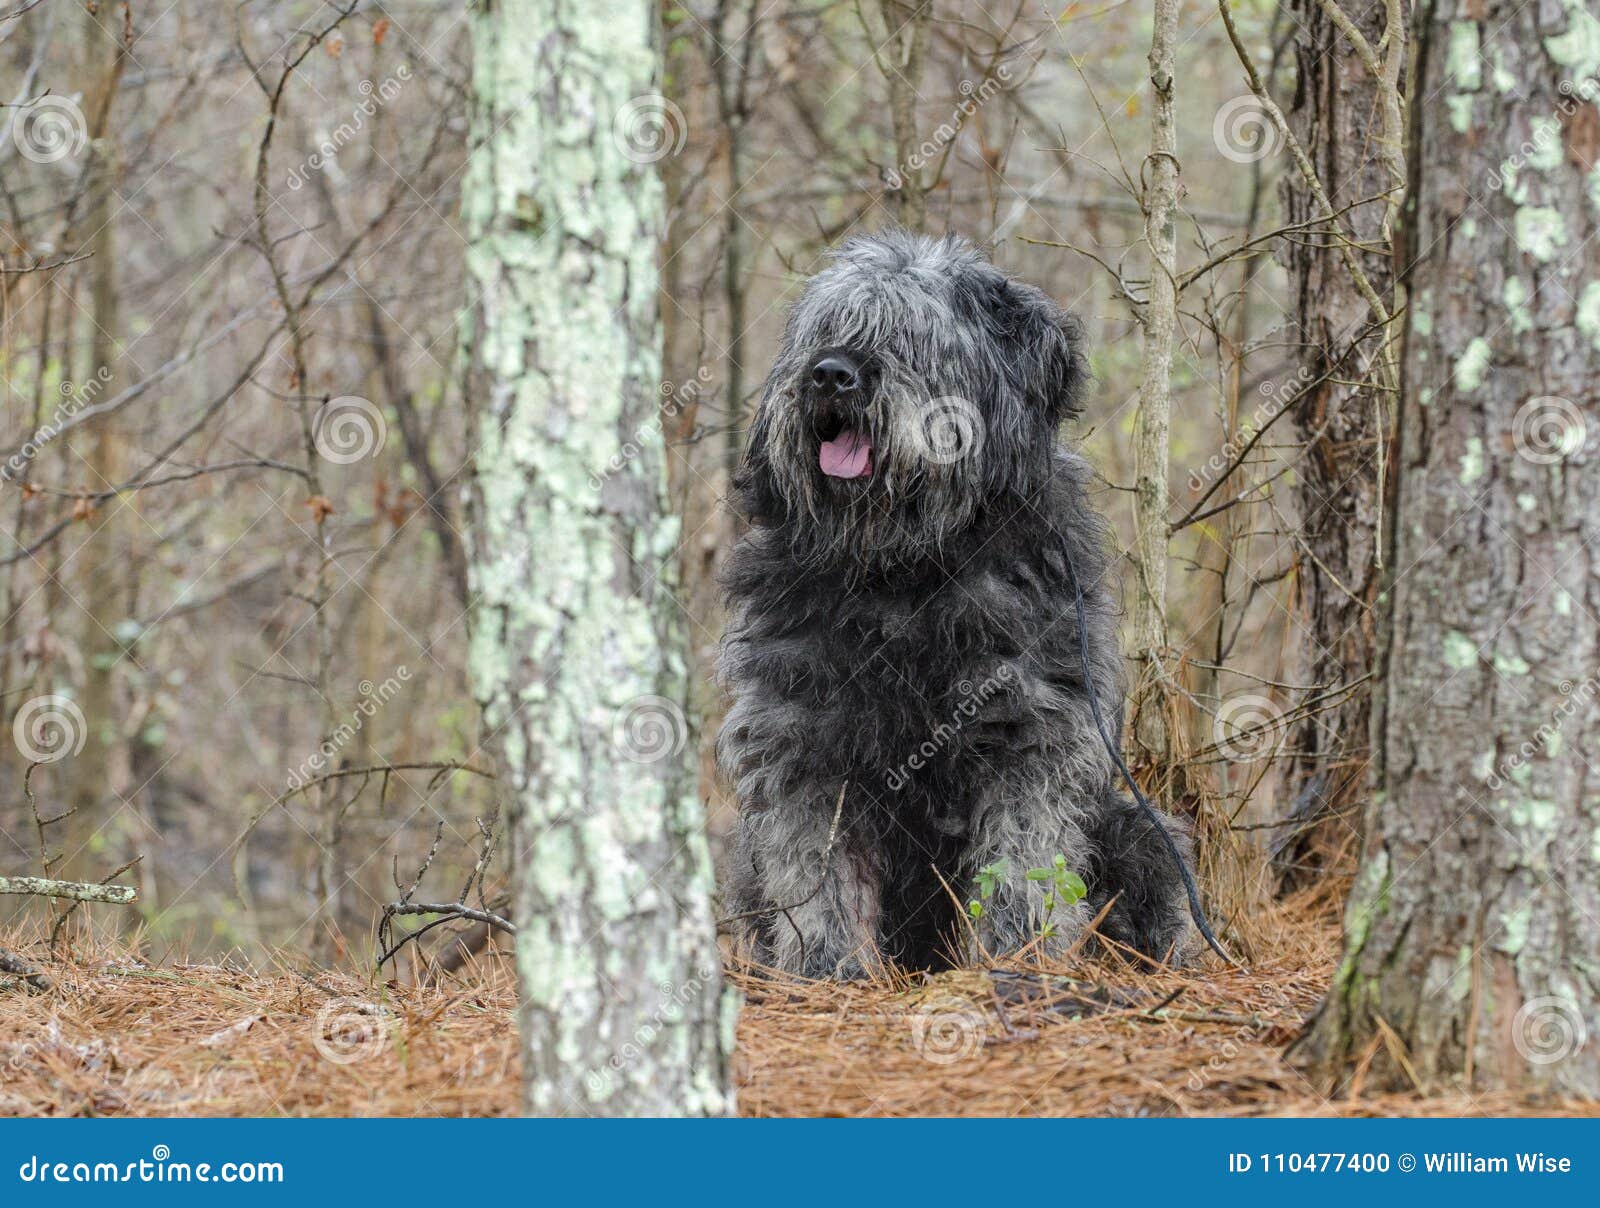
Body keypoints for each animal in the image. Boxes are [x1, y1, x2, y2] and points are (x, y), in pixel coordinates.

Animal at [720, 228, 1196, 985]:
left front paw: (1017, 957)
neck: (902, 574)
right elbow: (816, 870)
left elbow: (1022, 863)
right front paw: (828, 967)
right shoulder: (797, 736)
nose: (830, 375)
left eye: (911, 338)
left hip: (1138, 828)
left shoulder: (1031, 732)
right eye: (828, 329)